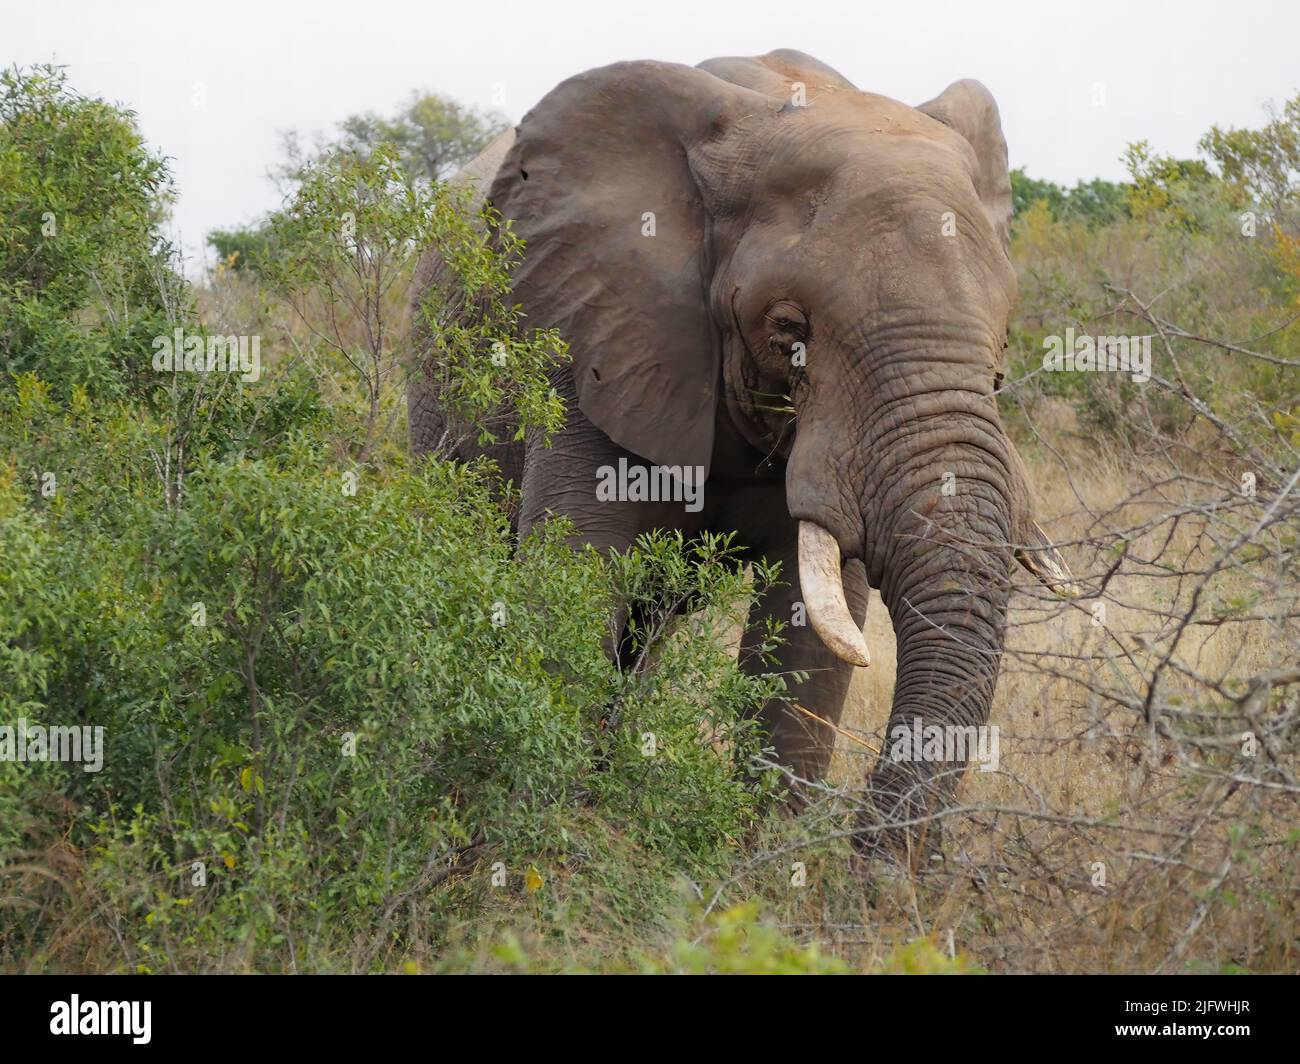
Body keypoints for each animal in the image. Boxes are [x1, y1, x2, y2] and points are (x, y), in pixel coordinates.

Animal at [408, 49, 1076, 864]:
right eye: (789, 329)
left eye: (1004, 347)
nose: (875, 873)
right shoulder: (591, 344)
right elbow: (577, 579)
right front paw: (542, 846)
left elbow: (807, 636)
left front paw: (766, 867)